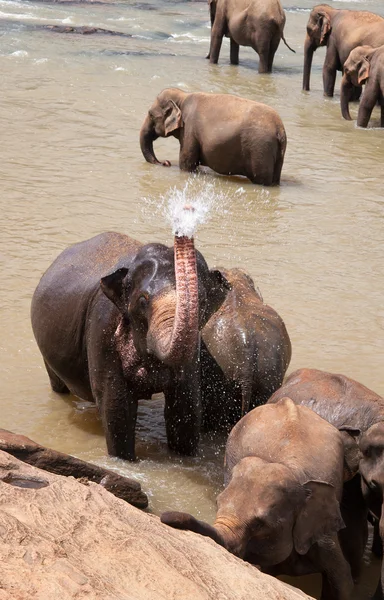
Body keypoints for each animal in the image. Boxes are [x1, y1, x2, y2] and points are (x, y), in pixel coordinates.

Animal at [31, 230, 230, 460]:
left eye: (202, 301)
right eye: (143, 300)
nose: (181, 231)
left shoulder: (194, 345)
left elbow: (186, 406)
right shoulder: (102, 330)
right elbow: (117, 408)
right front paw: (124, 460)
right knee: (59, 386)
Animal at [140, 88, 286, 185]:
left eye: (151, 114)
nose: (166, 162)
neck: (183, 96)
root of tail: (280, 129)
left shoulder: (189, 130)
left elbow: (186, 165)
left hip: (260, 150)